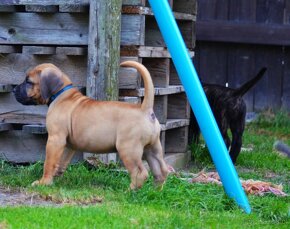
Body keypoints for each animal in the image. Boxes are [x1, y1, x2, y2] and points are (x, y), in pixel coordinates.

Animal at [13, 61, 168, 190]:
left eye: (28, 82)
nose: (14, 90)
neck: (61, 94)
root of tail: (145, 109)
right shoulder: (68, 144)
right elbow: (61, 162)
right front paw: (55, 178)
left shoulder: (55, 139)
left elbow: (49, 162)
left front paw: (44, 182)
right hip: (153, 149)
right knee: (161, 171)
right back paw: (155, 192)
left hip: (128, 149)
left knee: (140, 173)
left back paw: (129, 191)